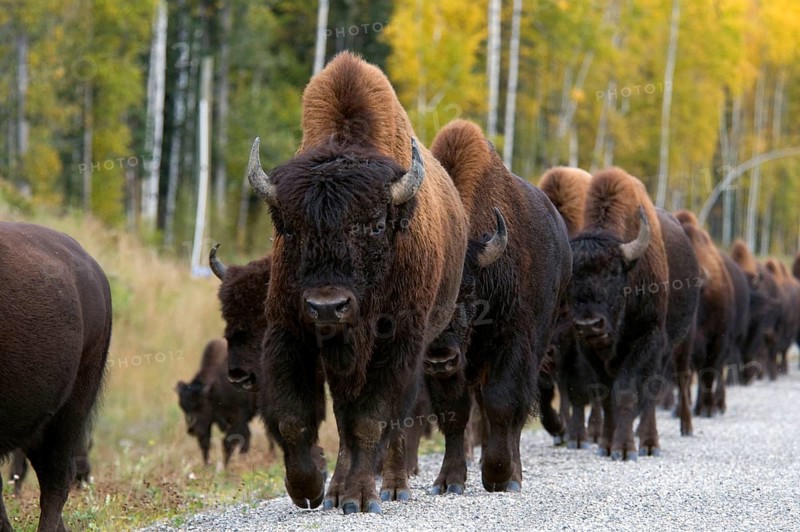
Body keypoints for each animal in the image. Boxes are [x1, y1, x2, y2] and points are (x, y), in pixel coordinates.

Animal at [246, 52, 468, 514]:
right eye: (289, 229)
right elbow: (296, 418)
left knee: (391, 425)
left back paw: (393, 486)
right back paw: (335, 490)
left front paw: (361, 497)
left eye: (377, 224)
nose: (327, 306)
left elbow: (372, 418)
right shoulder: (290, 330)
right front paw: (310, 489)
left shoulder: (398, 341)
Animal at [423, 119, 572, 494]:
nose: (439, 357)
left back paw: (513, 475)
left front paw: (498, 474)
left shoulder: (514, 343)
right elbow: (454, 412)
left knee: (514, 414)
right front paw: (448, 481)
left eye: (468, 290)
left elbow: (503, 404)